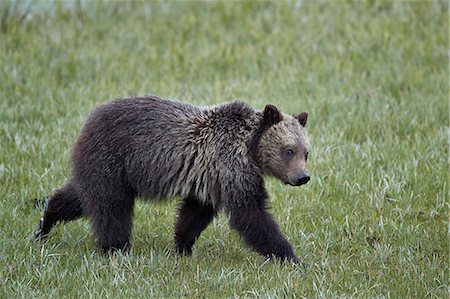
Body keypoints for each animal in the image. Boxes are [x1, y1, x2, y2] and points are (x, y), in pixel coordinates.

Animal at [35, 95, 310, 264]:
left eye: (306, 152)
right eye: (289, 150)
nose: (303, 177)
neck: (250, 147)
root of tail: (89, 120)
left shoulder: (209, 178)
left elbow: (194, 214)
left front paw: (182, 247)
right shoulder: (230, 167)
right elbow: (251, 214)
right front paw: (290, 256)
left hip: (104, 169)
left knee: (80, 197)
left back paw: (45, 223)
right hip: (112, 161)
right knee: (111, 208)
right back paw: (115, 249)